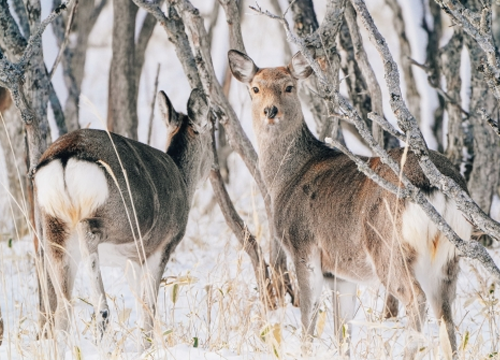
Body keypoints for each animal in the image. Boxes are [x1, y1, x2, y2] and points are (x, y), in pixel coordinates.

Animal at [34, 88, 212, 342]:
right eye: (212, 133)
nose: (213, 168)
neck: (182, 178)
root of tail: (65, 157)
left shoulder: (131, 261)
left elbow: (140, 305)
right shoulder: (161, 248)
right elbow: (149, 310)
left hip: (51, 226)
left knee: (62, 305)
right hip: (123, 221)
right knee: (89, 236)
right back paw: (102, 313)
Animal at [229, 50, 470, 358]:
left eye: (289, 87)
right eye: (255, 88)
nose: (270, 111)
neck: (285, 179)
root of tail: (436, 188)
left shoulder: (303, 247)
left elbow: (308, 319)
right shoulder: (341, 274)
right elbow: (342, 331)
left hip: (388, 247)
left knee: (416, 299)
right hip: (448, 258)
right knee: (447, 316)